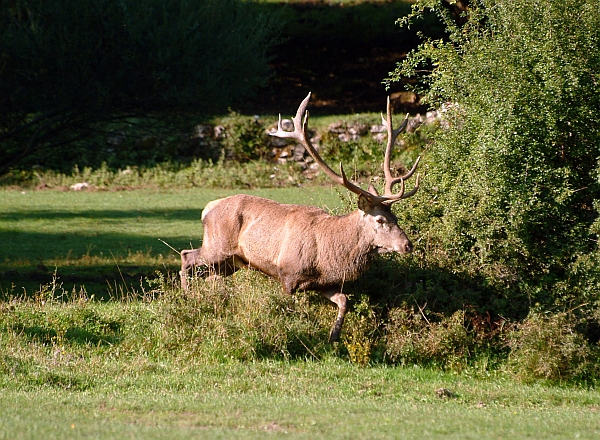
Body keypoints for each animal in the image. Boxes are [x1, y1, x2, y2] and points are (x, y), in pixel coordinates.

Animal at [180, 92, 420, 340]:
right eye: (380, 220)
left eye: (396, 218)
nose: (407, 245)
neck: (328, 253)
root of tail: (207, 208)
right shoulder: (288, 273)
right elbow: (288, 307)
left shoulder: (324, 283)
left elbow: (344, 301)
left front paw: (334, 336)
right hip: (217, 246)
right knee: (186, 256)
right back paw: (188, 297)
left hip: (232, 262)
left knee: (210, 277)